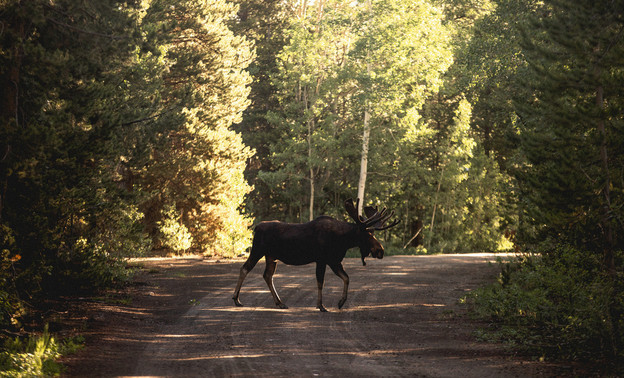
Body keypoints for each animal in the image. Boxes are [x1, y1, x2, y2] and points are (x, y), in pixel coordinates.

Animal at [233, 199, 400, 312]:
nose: (380, 250)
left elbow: (346, 278)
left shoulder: (334, 260)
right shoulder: (322, 259)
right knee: (245, 269)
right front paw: (321, 305)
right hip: (258, 250)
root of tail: (256, 227)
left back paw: (280, 303)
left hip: (271, 257)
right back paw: (236, 299)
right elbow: (321, 282)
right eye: (367, 234)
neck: (342, 240)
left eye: (373, 233)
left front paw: (340, 302)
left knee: (267, 275)